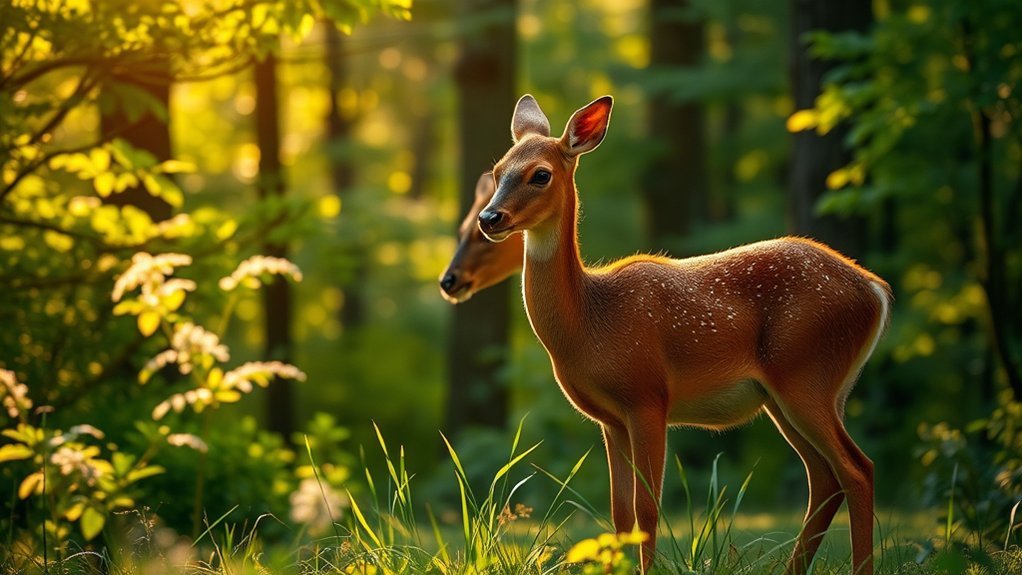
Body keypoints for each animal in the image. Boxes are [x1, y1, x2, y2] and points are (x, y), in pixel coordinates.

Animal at [474, 94, 891, 574]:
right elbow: (619, 513)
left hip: (806, 374)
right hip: (794, 393)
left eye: (540, 174)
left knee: (857, 469)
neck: (591, 322)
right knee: (825, 477)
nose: (489, 217)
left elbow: (647, 508)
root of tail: (876, 290)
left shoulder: (648, 396)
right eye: (498, 171)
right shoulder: (610, 419)